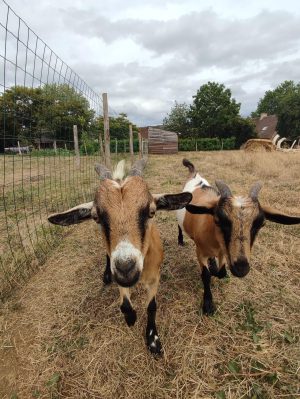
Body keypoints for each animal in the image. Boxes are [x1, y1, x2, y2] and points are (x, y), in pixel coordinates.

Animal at [48, 161, 191, 354]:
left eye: (151, 212)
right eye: (96, 217)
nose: (126, 269)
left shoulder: (155, 278)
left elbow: (152, 306)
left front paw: (153, 340)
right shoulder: (120, 279)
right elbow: (125, 304)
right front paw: (131, 318)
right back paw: (106, 276)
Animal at [176, 159, 300, 316]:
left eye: (261, 224)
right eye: (218, 220)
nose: (241, 268)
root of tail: (195, 175)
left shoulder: (224, 252)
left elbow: (221, 272)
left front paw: (216, 269)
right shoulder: (200, 252)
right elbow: (206, 275)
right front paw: (208, 305)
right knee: (179, 227)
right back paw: (180, 241)